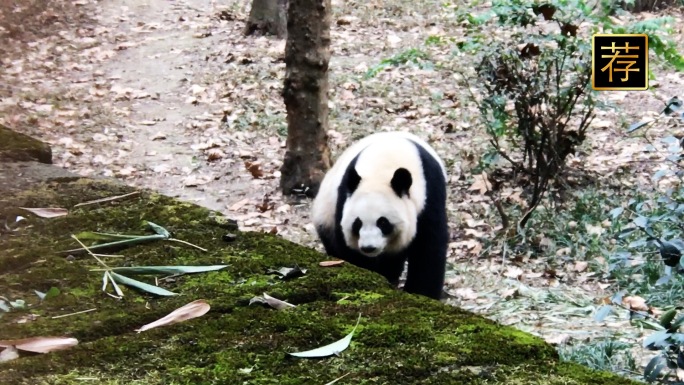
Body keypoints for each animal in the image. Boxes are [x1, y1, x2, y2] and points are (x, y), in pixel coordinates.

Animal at [312, 132, 448, 300]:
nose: (369, 248)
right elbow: (348, 247)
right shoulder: (343, 198)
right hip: (325, 214)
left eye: (383, 223)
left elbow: (428, 248)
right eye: (357, 223)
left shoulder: (430, 194)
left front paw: (421, 293)